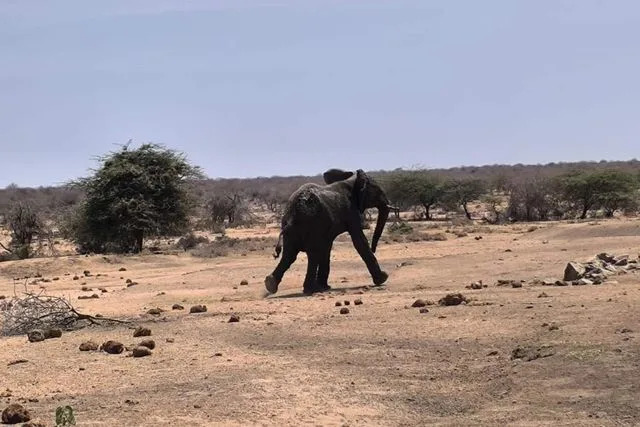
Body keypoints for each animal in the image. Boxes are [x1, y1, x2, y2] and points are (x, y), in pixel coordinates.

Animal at [264, 168, 396, 295]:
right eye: (378, 191)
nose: (374, 249)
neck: (352, 180)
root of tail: (292, 215)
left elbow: (327, 247)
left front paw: (325, 287)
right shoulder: (351, 212)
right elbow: (359, 241)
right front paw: (383, 278)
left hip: (292, 228)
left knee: (290, 255)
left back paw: (271, 284)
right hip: (312, 224)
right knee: (312, 254)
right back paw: (311, 289)